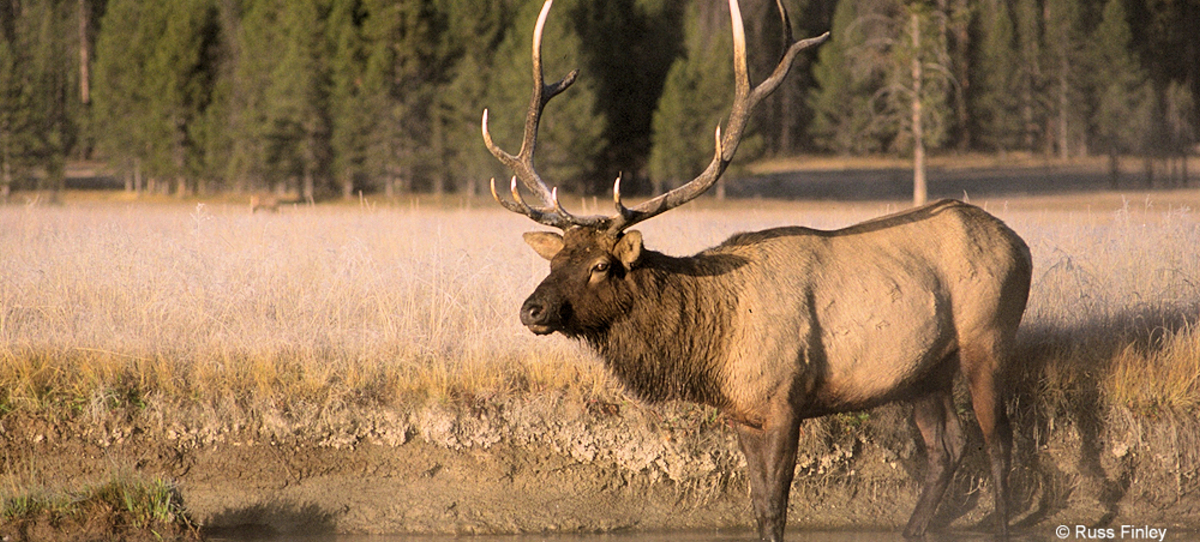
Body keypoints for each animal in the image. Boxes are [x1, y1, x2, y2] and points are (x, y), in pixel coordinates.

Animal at [482, 2, 1036, 539]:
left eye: (600, 265)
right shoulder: (742, 413)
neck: (714, 341)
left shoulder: (783, 403)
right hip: (924, 371)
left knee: (999, 441)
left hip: (987, 339)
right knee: (947, 448)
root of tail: (1020, 243)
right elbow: (756, 506)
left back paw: (1002, 525)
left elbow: (775, 510)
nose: (532, 310)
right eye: (555, 259)